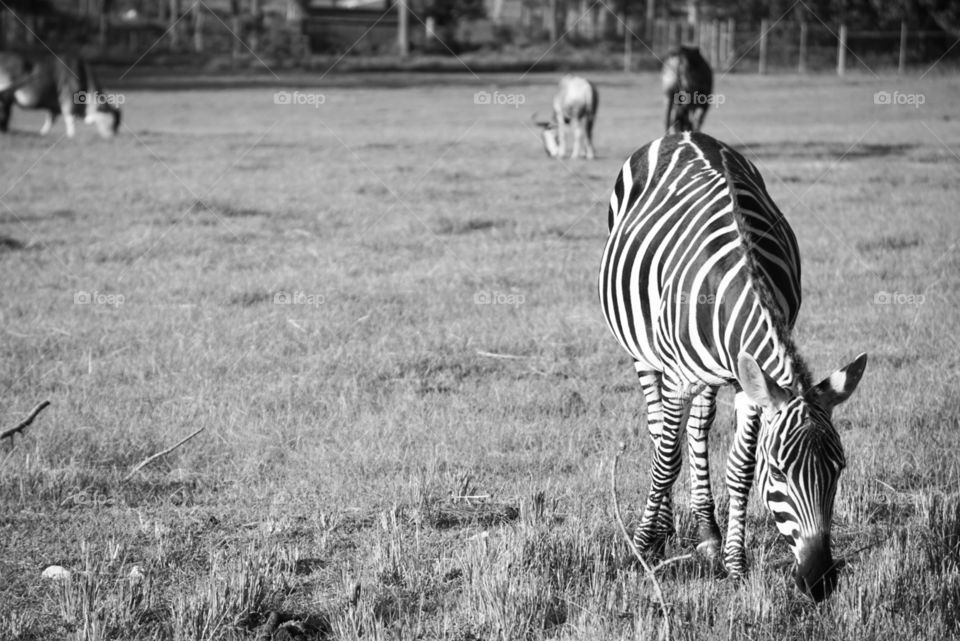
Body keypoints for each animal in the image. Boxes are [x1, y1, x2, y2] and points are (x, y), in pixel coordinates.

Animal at [598, 132, 867, 601]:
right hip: (646, 354)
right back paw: (663, 528)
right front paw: (642, 547)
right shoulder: (681, 377)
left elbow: (739, 470)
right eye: (778, 472)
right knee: (659, 428)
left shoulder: (750, 383)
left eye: (839, 469)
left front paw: (735, 565)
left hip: (715, 371)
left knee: (698, 428)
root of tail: (682, 134)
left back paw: (707, 531)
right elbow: (666, 459)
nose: (818, 581)